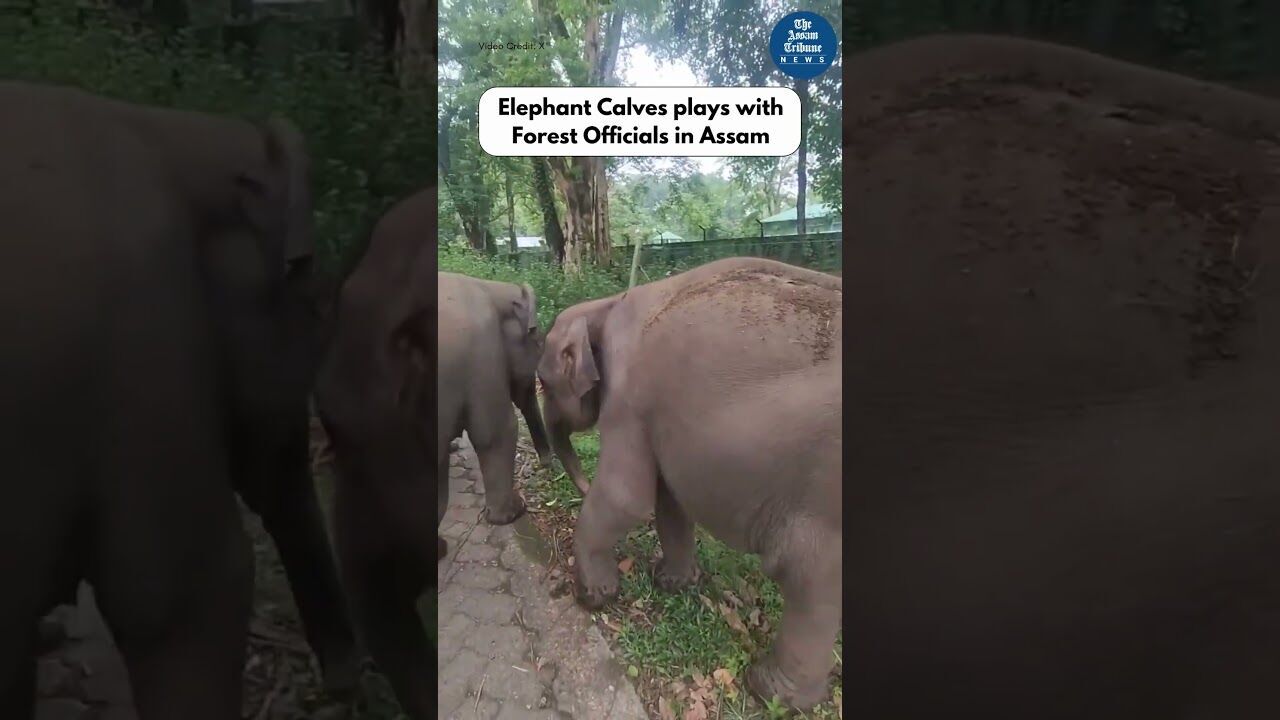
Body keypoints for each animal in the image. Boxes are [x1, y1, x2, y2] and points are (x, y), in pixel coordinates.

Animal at [538, 257, 842, 710]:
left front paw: (595, 597)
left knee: (807, 576)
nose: (579, 485)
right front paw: (672, 583)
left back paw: (766, 690)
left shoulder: (628, 400)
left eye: (542, 381)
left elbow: (626, 498)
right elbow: (669, 500)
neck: (606, 304)